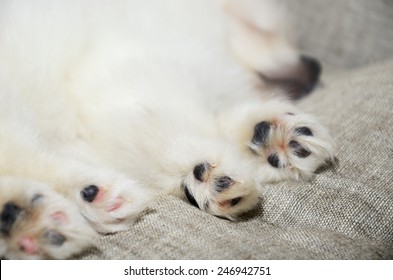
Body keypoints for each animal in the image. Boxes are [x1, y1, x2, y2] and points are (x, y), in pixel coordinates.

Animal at [0, 0, 334, 260]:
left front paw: (270, 138)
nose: (314, 68)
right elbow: (168, 129)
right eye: (259, 27)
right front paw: (209, 172)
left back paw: (29, 219)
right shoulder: (125, 75)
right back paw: (76, 199)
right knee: (24, 152)